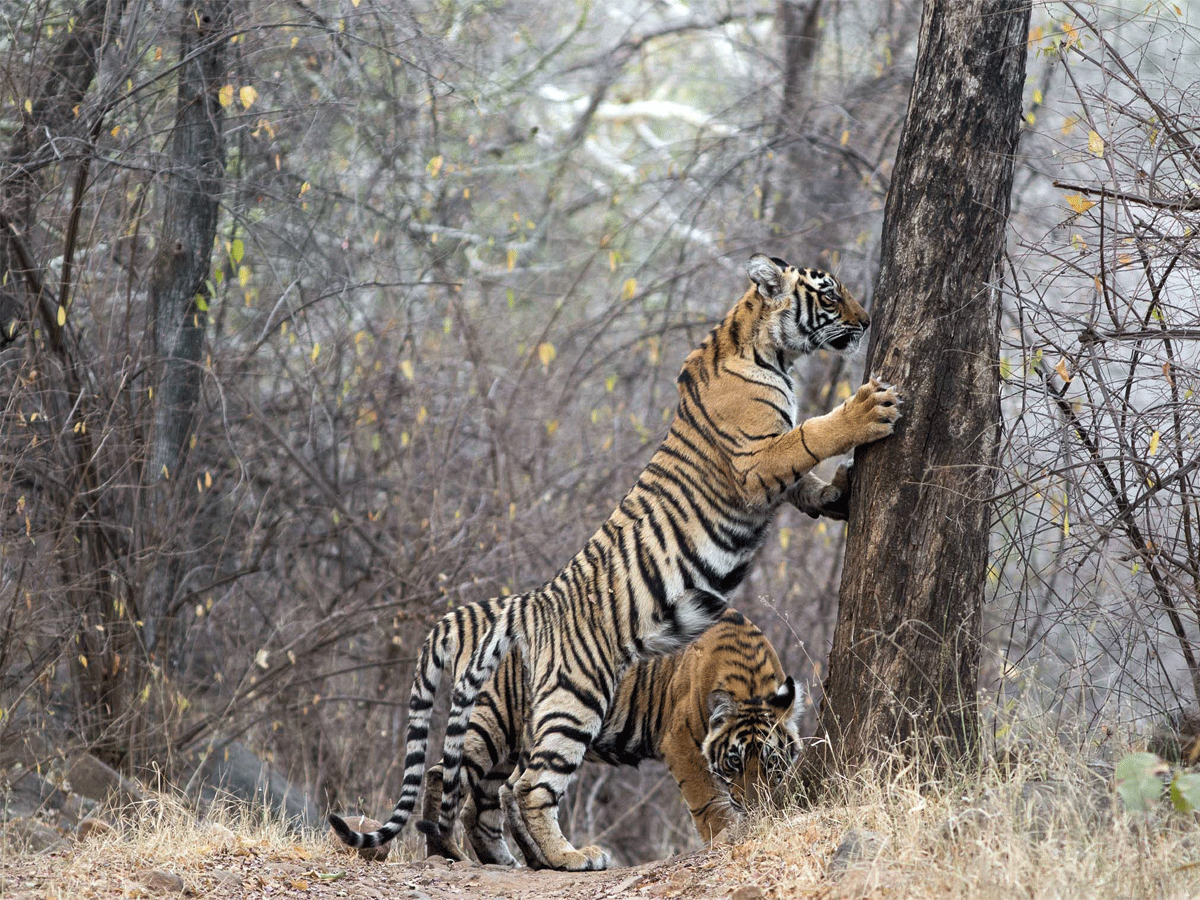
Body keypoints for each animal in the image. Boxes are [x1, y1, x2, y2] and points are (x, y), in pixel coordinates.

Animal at [417, 608, 802, 867]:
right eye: (734, 761)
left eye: (770, 763)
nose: (754, 805)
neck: (750, 685)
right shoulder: (681, 742)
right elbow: (707, 800)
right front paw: (723, 837)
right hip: (493, 722)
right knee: (443, 775)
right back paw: (446, 853)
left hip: (514, 745)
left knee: (492, 799)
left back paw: (520, 860)